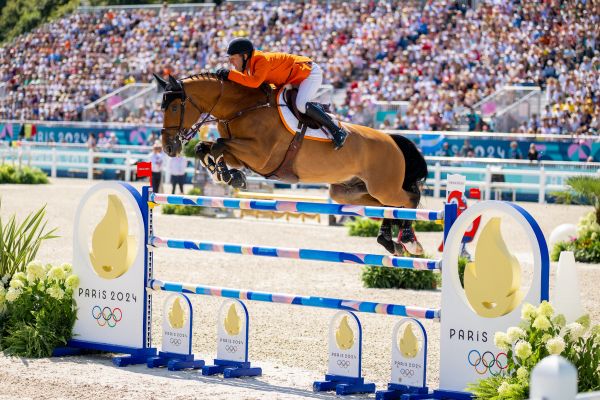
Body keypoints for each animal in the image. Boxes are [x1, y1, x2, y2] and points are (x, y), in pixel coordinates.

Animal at [154, 73, 426, 255]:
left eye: (175, 107)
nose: (169, 148)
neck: (242, 108)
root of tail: (392, 139)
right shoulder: (243, 155)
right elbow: (206, 147)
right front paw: (226, 174)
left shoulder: (260, 155)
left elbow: (220, 145)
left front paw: (229, 175)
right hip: (350, 192)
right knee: (390, 207)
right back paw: (390, 242)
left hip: (383, 186)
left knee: (409, 199)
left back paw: (410, 241)